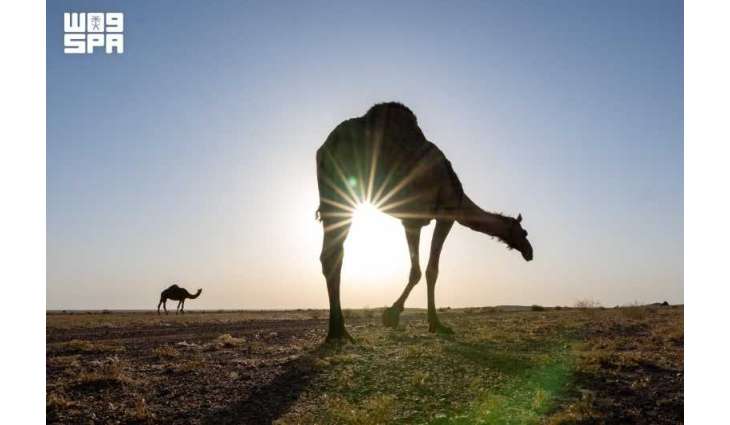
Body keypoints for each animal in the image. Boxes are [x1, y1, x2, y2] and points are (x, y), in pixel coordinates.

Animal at [316, 102, 533, 341]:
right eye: (524, 233)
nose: (530, 252)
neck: (459, 199)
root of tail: (326, 144)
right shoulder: (446, 215)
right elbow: (430, 271)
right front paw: (427, 321)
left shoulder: (413, 222)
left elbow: (416, 269)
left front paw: (399, 315)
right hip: (342, 186)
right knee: (334, 253)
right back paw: (338, 331)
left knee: (331, 254)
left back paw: (336, 330)